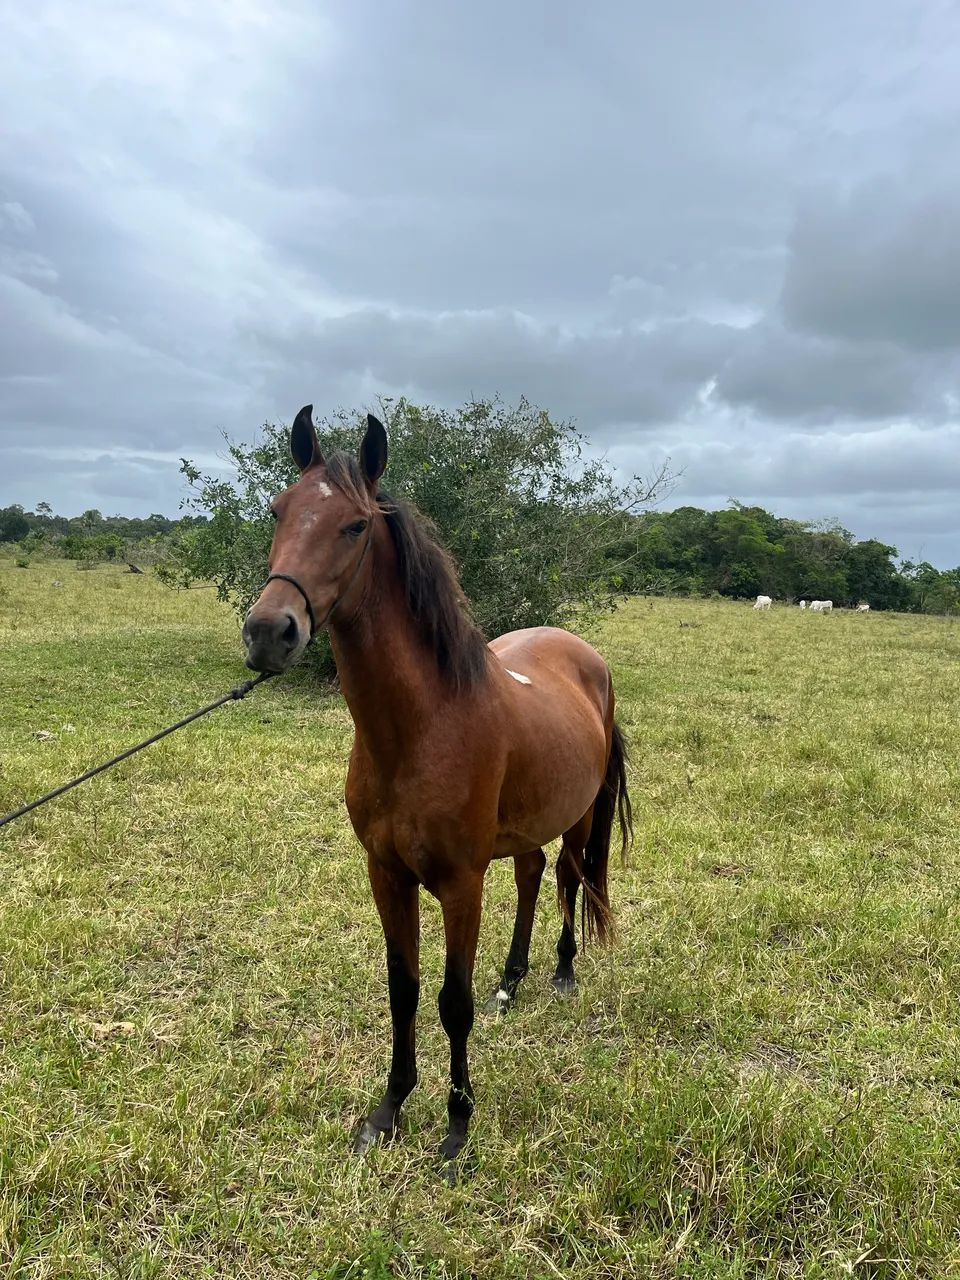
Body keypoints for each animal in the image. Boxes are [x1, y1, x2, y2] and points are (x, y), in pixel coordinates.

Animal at [242, 408, 633, 1175]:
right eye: (278, 511)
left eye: (354, 526)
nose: (269, 632)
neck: (424, 728)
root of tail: (584, 655)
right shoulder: (386, 875)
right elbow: (404, 990)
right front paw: (389, 1110)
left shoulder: (459, 883)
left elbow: (453, 1001)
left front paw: (456, 1128)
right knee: (533, 873)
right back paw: (511, 979)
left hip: (577, 817)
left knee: (568, 876)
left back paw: (562, 973)